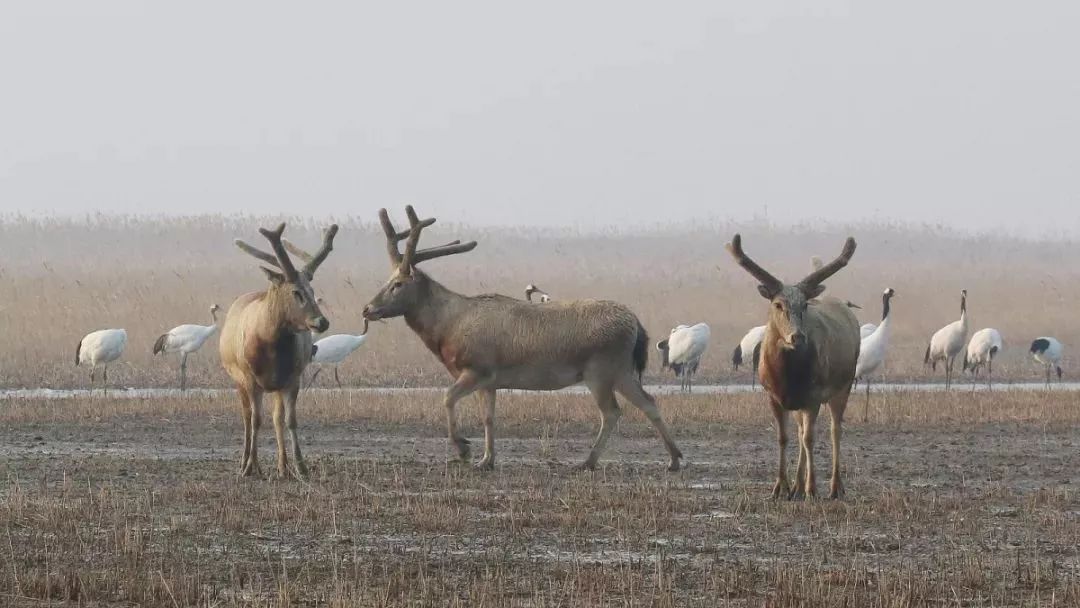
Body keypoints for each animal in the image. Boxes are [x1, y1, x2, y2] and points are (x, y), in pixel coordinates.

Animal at [219, 223, 336, 481]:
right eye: (296, 292)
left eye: (312, 289)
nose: (321, 322)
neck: (271, 347)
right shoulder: (250, 378)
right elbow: (256, 420)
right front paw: (250, 467)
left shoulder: (292, 378)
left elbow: (289, 420)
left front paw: (301, 467)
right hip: (238, 379)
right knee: (246, 416)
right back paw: (246, 462)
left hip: (276, 386)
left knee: (277, 418)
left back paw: (283, 467)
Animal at [362, 207, 682, 473]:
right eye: (386, 280)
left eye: (397, 284)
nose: (367, 308)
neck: (447, 329)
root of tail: (637, 325)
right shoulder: (489, 381)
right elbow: (489, 418)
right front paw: (486, 460)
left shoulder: (477, 368)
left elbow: (447, 398)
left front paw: (464, 449)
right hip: (622, 370)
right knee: (649, 402)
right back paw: (674, 459)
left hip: (600, 369)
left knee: (612, 412)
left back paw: (588, 461)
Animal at [725, 233, 859, 498]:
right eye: (778, 304)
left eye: (805, 305)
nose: (797, 336)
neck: (786, 377)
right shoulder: (774, 396)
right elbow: (784, 437)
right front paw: (780, 487)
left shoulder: (813, 395)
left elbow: (810, 438)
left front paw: (812, 489)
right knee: (800, 430)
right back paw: (796, 487)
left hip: (844, 385)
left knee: (835, 429)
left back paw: (835, 487)